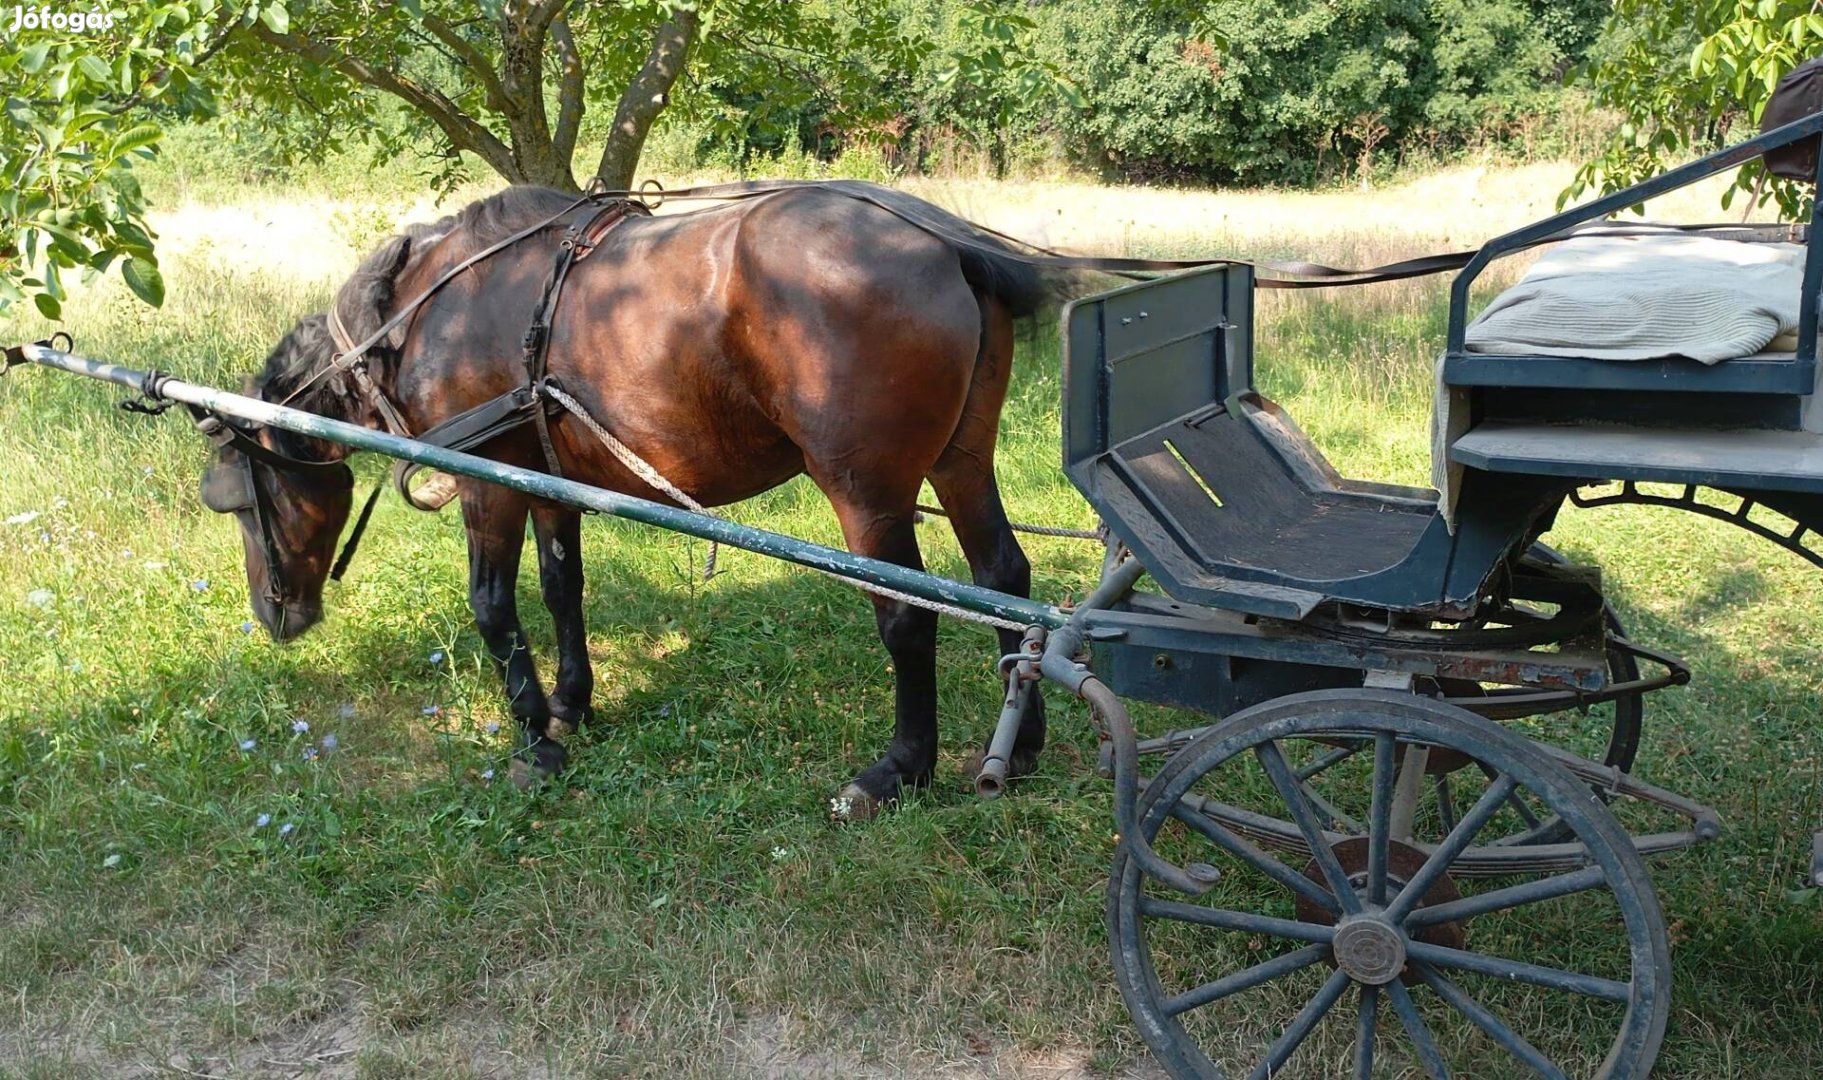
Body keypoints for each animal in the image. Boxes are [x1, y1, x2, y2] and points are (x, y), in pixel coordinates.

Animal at [195, 181, 1057, 813]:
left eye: (233, 498)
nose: (273, 615)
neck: (421, 317)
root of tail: (940, 241)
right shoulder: (547, 481)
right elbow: (560, 588)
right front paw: (571, 705)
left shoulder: (487, 482)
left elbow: (493, 606)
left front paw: (535, 742)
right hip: (961, 462)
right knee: (1003, 579)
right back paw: (1017, 747)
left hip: (866, 489)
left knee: (908, 617)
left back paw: (900, 767)